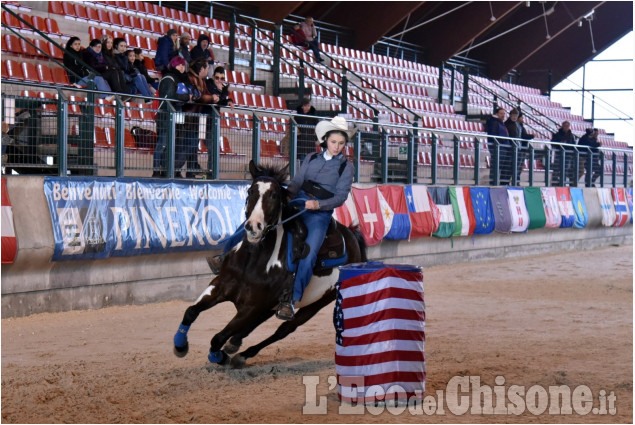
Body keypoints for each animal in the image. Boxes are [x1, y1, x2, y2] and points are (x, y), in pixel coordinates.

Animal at [173, 159, 368, 368]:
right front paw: (180, 346)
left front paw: (219, 356)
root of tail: (351, 236)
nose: (253, 227)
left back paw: (242, 354)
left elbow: (217, 338)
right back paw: (235, 344)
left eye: (274, 195)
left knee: (284, 330)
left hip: (318, 303)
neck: (252, 262)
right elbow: (191, 312)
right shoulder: (220, 286)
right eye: (251, 191)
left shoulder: (252, 307)